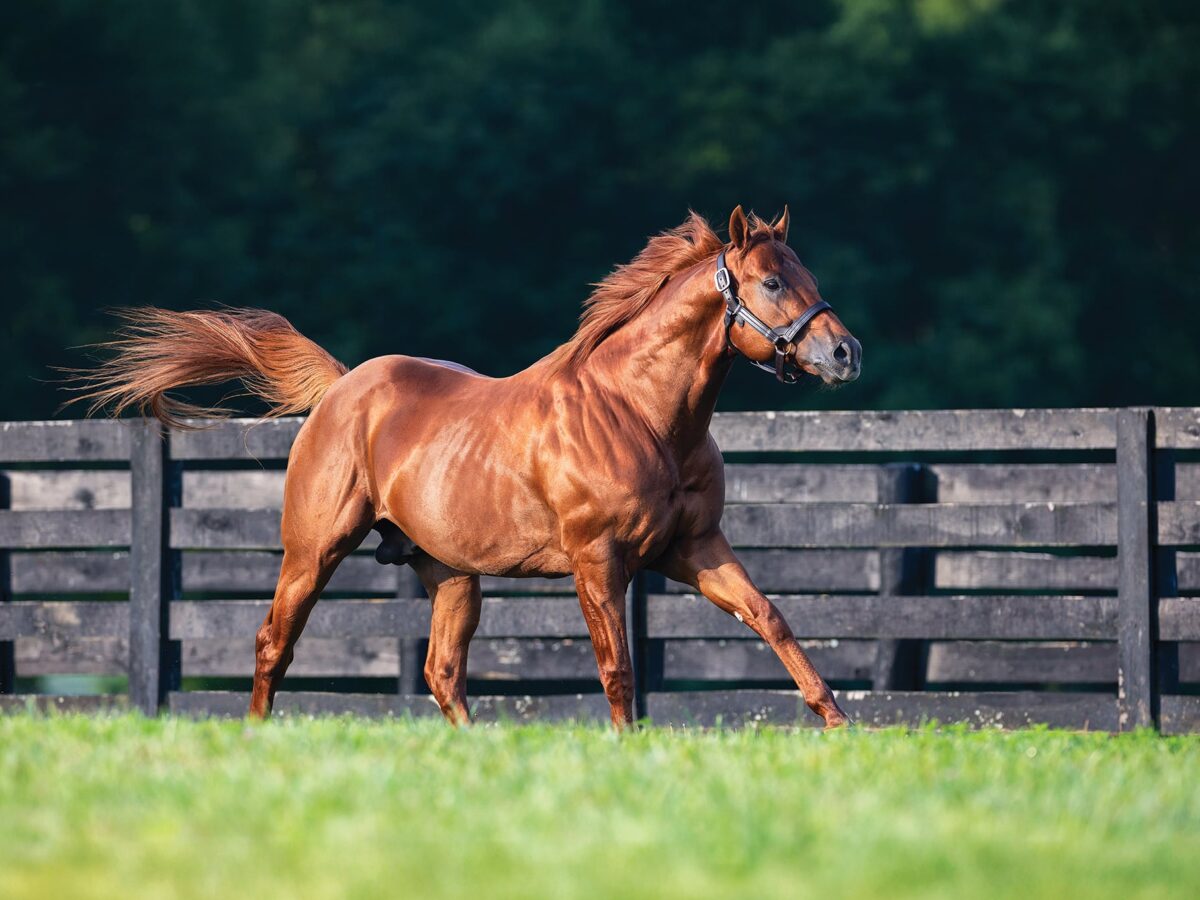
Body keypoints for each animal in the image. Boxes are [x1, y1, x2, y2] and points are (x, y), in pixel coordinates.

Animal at [77, 207, 864, 729]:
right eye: (770, 283)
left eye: (806, 273)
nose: (845, 353)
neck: (641, 414)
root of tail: (341, 387)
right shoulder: (598, 560)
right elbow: (617, 668)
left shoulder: (693, 547)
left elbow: (771, 619)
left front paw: (836, 727)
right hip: (313, 550)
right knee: (276, 642)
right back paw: (257, 737)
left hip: (449, 571)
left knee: (442, 671)